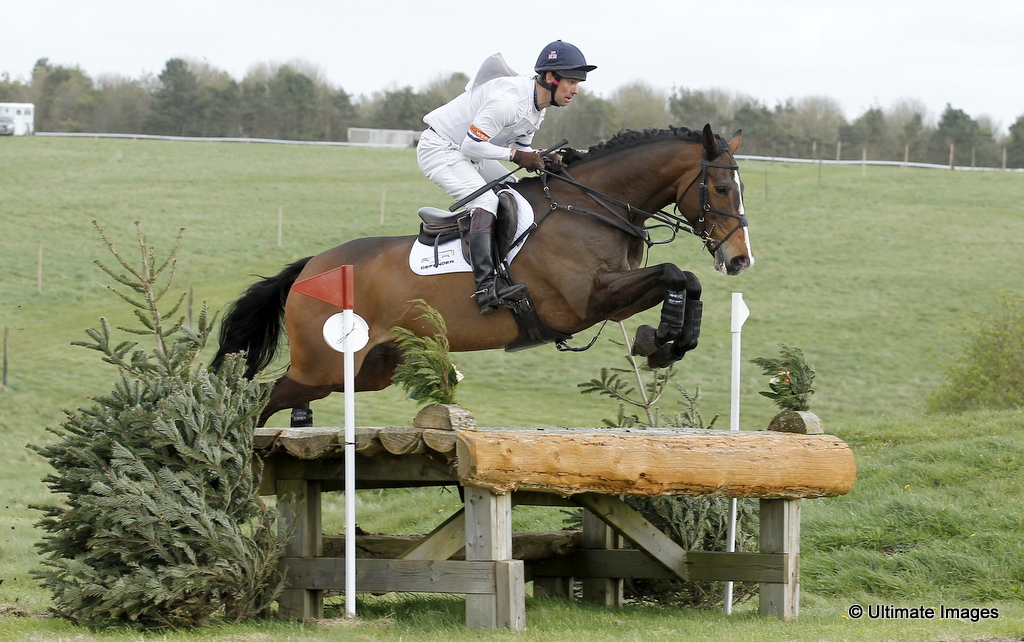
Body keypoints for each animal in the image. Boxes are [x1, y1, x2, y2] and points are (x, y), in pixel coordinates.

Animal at [212, 124, 753, 426]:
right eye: (722, 189)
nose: (739, 260)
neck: (590, 206)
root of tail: (310, 268)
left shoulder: (611, 298)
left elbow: (683, 280)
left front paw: (665, 343)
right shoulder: (585, 300)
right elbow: (675, 273)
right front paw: (661, 339)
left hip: (367, 370)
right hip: (320, 367)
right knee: (260, 398)